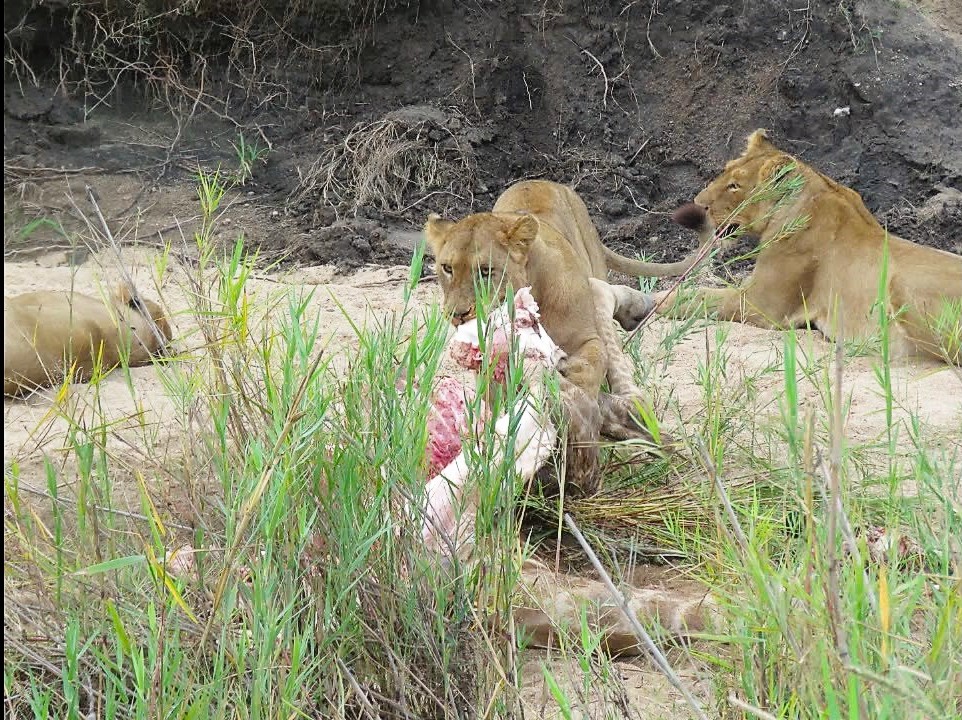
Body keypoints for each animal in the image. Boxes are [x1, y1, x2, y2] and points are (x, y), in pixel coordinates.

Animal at [652, 128, 960, 366]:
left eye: (735, 186)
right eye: (724, 172)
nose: (696, 202)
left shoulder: (761, 305)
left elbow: (699, 296)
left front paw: (654, 299)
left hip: (902, 286)